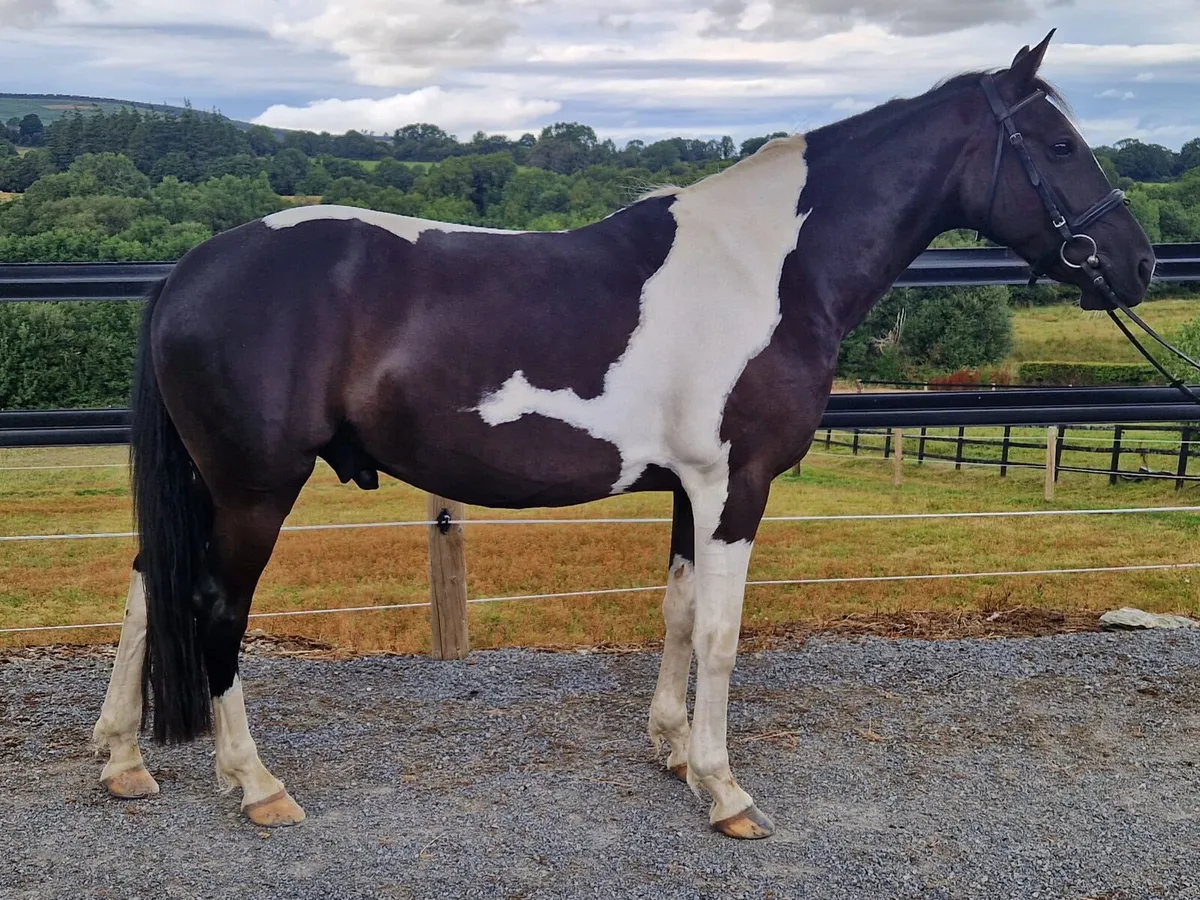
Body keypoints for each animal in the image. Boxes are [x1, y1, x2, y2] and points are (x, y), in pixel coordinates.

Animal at [90, 30, 1154, 839]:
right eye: (1060, 146)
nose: (1138, 262)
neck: (770, 268)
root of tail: (190, 271)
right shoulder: (736, 485)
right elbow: (722, 634)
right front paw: (726, 791)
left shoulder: (691, 489)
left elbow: (679, 615)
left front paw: (673, 750)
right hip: (255, 487)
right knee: (214, 606)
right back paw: (256, 786)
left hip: (210, 483)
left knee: (146, 588)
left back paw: (123, 761)